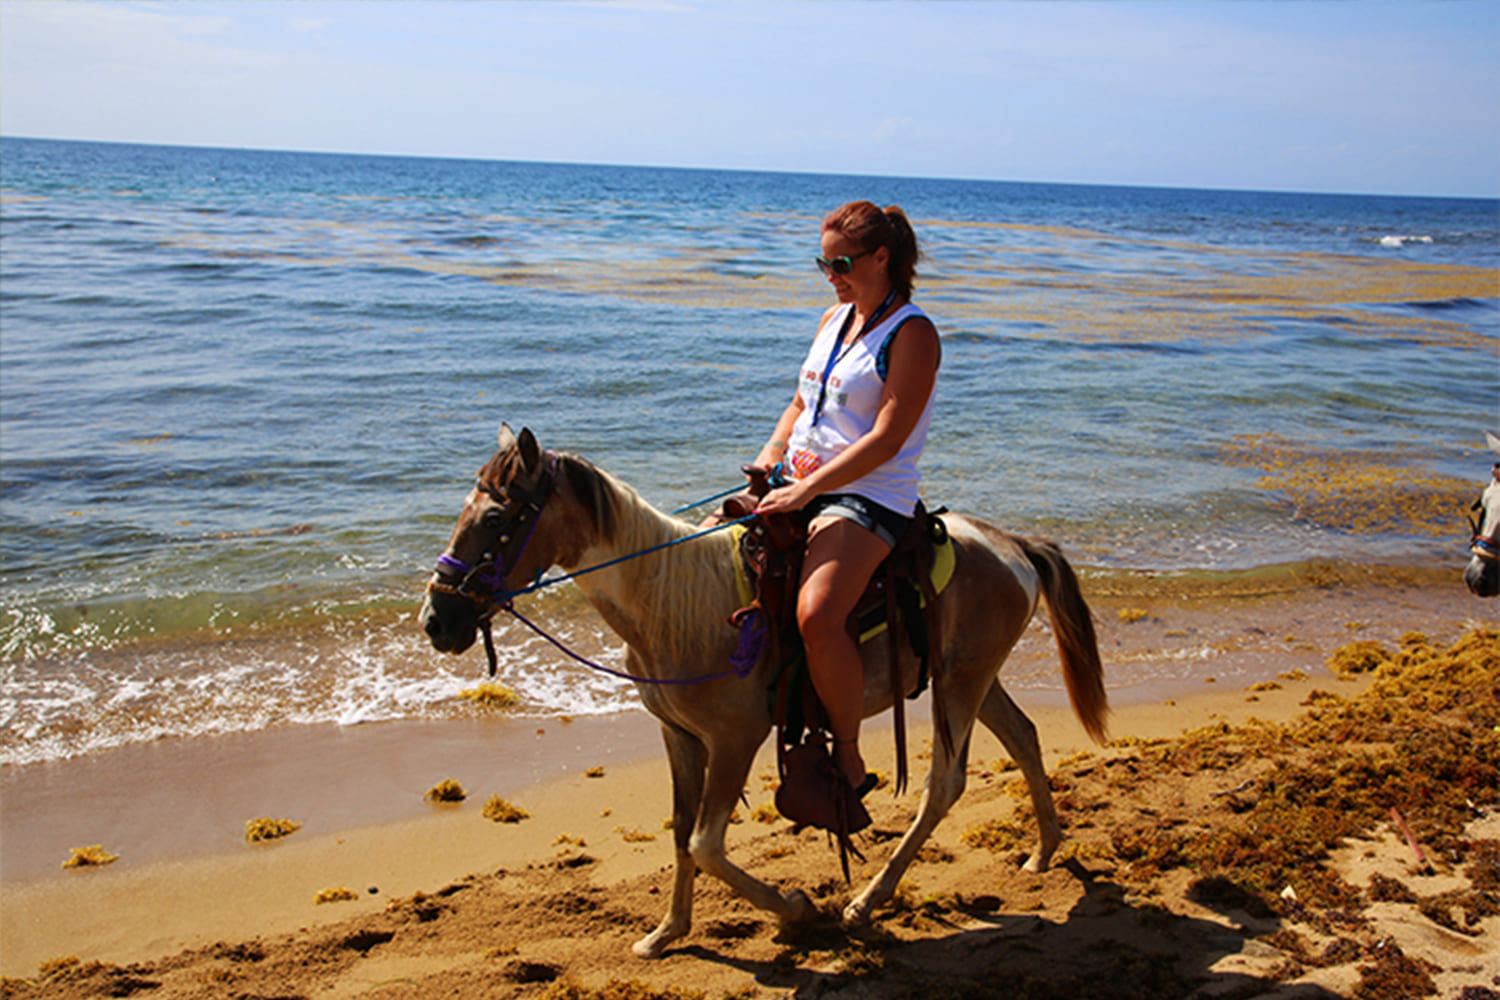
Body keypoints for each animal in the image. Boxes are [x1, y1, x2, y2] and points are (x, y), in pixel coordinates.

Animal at [417, 425, 1110, 959]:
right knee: (1023, 737)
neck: (672, 603)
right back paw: (1044, 851)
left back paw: (866, 902)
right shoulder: (679, 736)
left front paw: (796, 909)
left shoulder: (735, 740)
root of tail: (1012, 544)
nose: (435, 619)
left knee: (944, 785)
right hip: (969, 677)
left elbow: (705, 842)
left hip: (959, 687)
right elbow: (681, 832)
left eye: (496, 517)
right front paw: (668, 932)